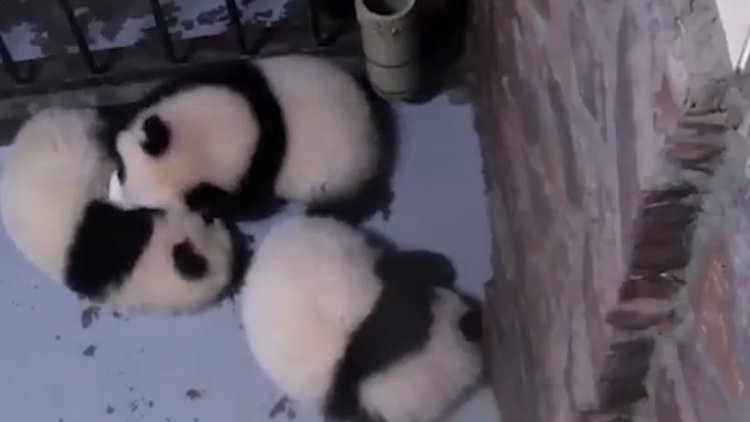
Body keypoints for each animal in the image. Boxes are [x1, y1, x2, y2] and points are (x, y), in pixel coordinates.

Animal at [107, 54, 389, 223]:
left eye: (150, 210)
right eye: (121, 169)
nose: (113, 200)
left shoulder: (256, 174)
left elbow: (245, 206)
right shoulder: (224, 77)